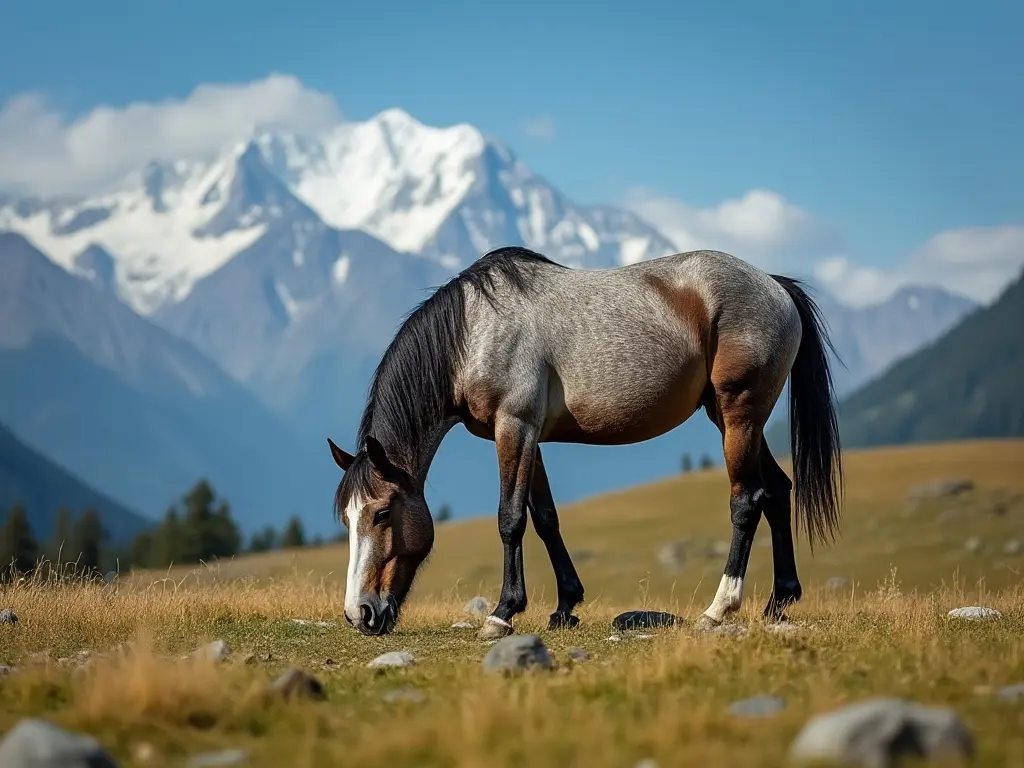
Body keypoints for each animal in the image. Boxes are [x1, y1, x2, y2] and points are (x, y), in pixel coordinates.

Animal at [327, 246, 839, 638]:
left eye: (381, 513)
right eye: (347, 517)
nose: (360, 614)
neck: (474, 332)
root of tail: (774, 285)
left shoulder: (513, 426)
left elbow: (510, 519)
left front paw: (502, 613)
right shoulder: (528, 436)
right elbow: (545, 518)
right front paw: (565, 607)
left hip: (739, 415)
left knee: (746, 501)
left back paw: (719, 608)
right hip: (732, 420)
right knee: (778, 490)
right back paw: (778, 601)